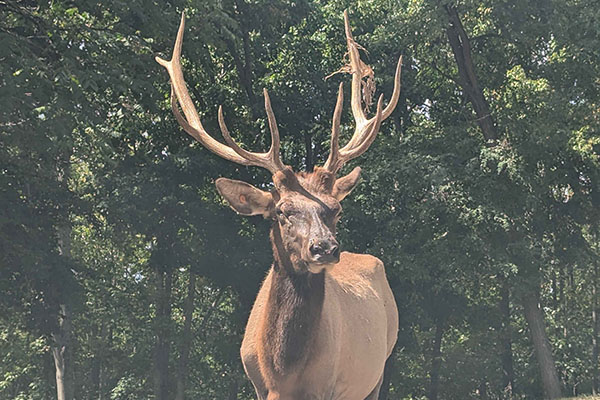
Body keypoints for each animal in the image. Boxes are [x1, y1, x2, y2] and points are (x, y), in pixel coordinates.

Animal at [158, 10, 404, 400]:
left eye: (335, 209)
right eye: (282, 211)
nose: (325, 248)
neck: (281, 372)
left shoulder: (328, 386)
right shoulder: (256, 382)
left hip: (377, 370)